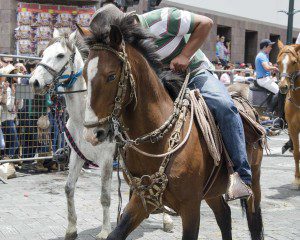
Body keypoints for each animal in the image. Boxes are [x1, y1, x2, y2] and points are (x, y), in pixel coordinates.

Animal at [28, 29, 173, 239]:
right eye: (43, 53)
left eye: (60, 55)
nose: (34, 82)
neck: (82, 118)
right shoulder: (77, 156)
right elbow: (68, 188)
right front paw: (71, 228)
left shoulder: (106, 160)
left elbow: (105, 196)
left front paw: (104, 231)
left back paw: (167, 220)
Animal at [79, 15, 262, 240]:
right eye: (84, 75)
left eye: (111, 76)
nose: (91, 133)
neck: (158, 140)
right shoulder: (142, 199)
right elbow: (118, 232)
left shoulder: (190, 207)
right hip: (212, 191)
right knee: (224, 215)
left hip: (254, 181)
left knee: (253, 219)